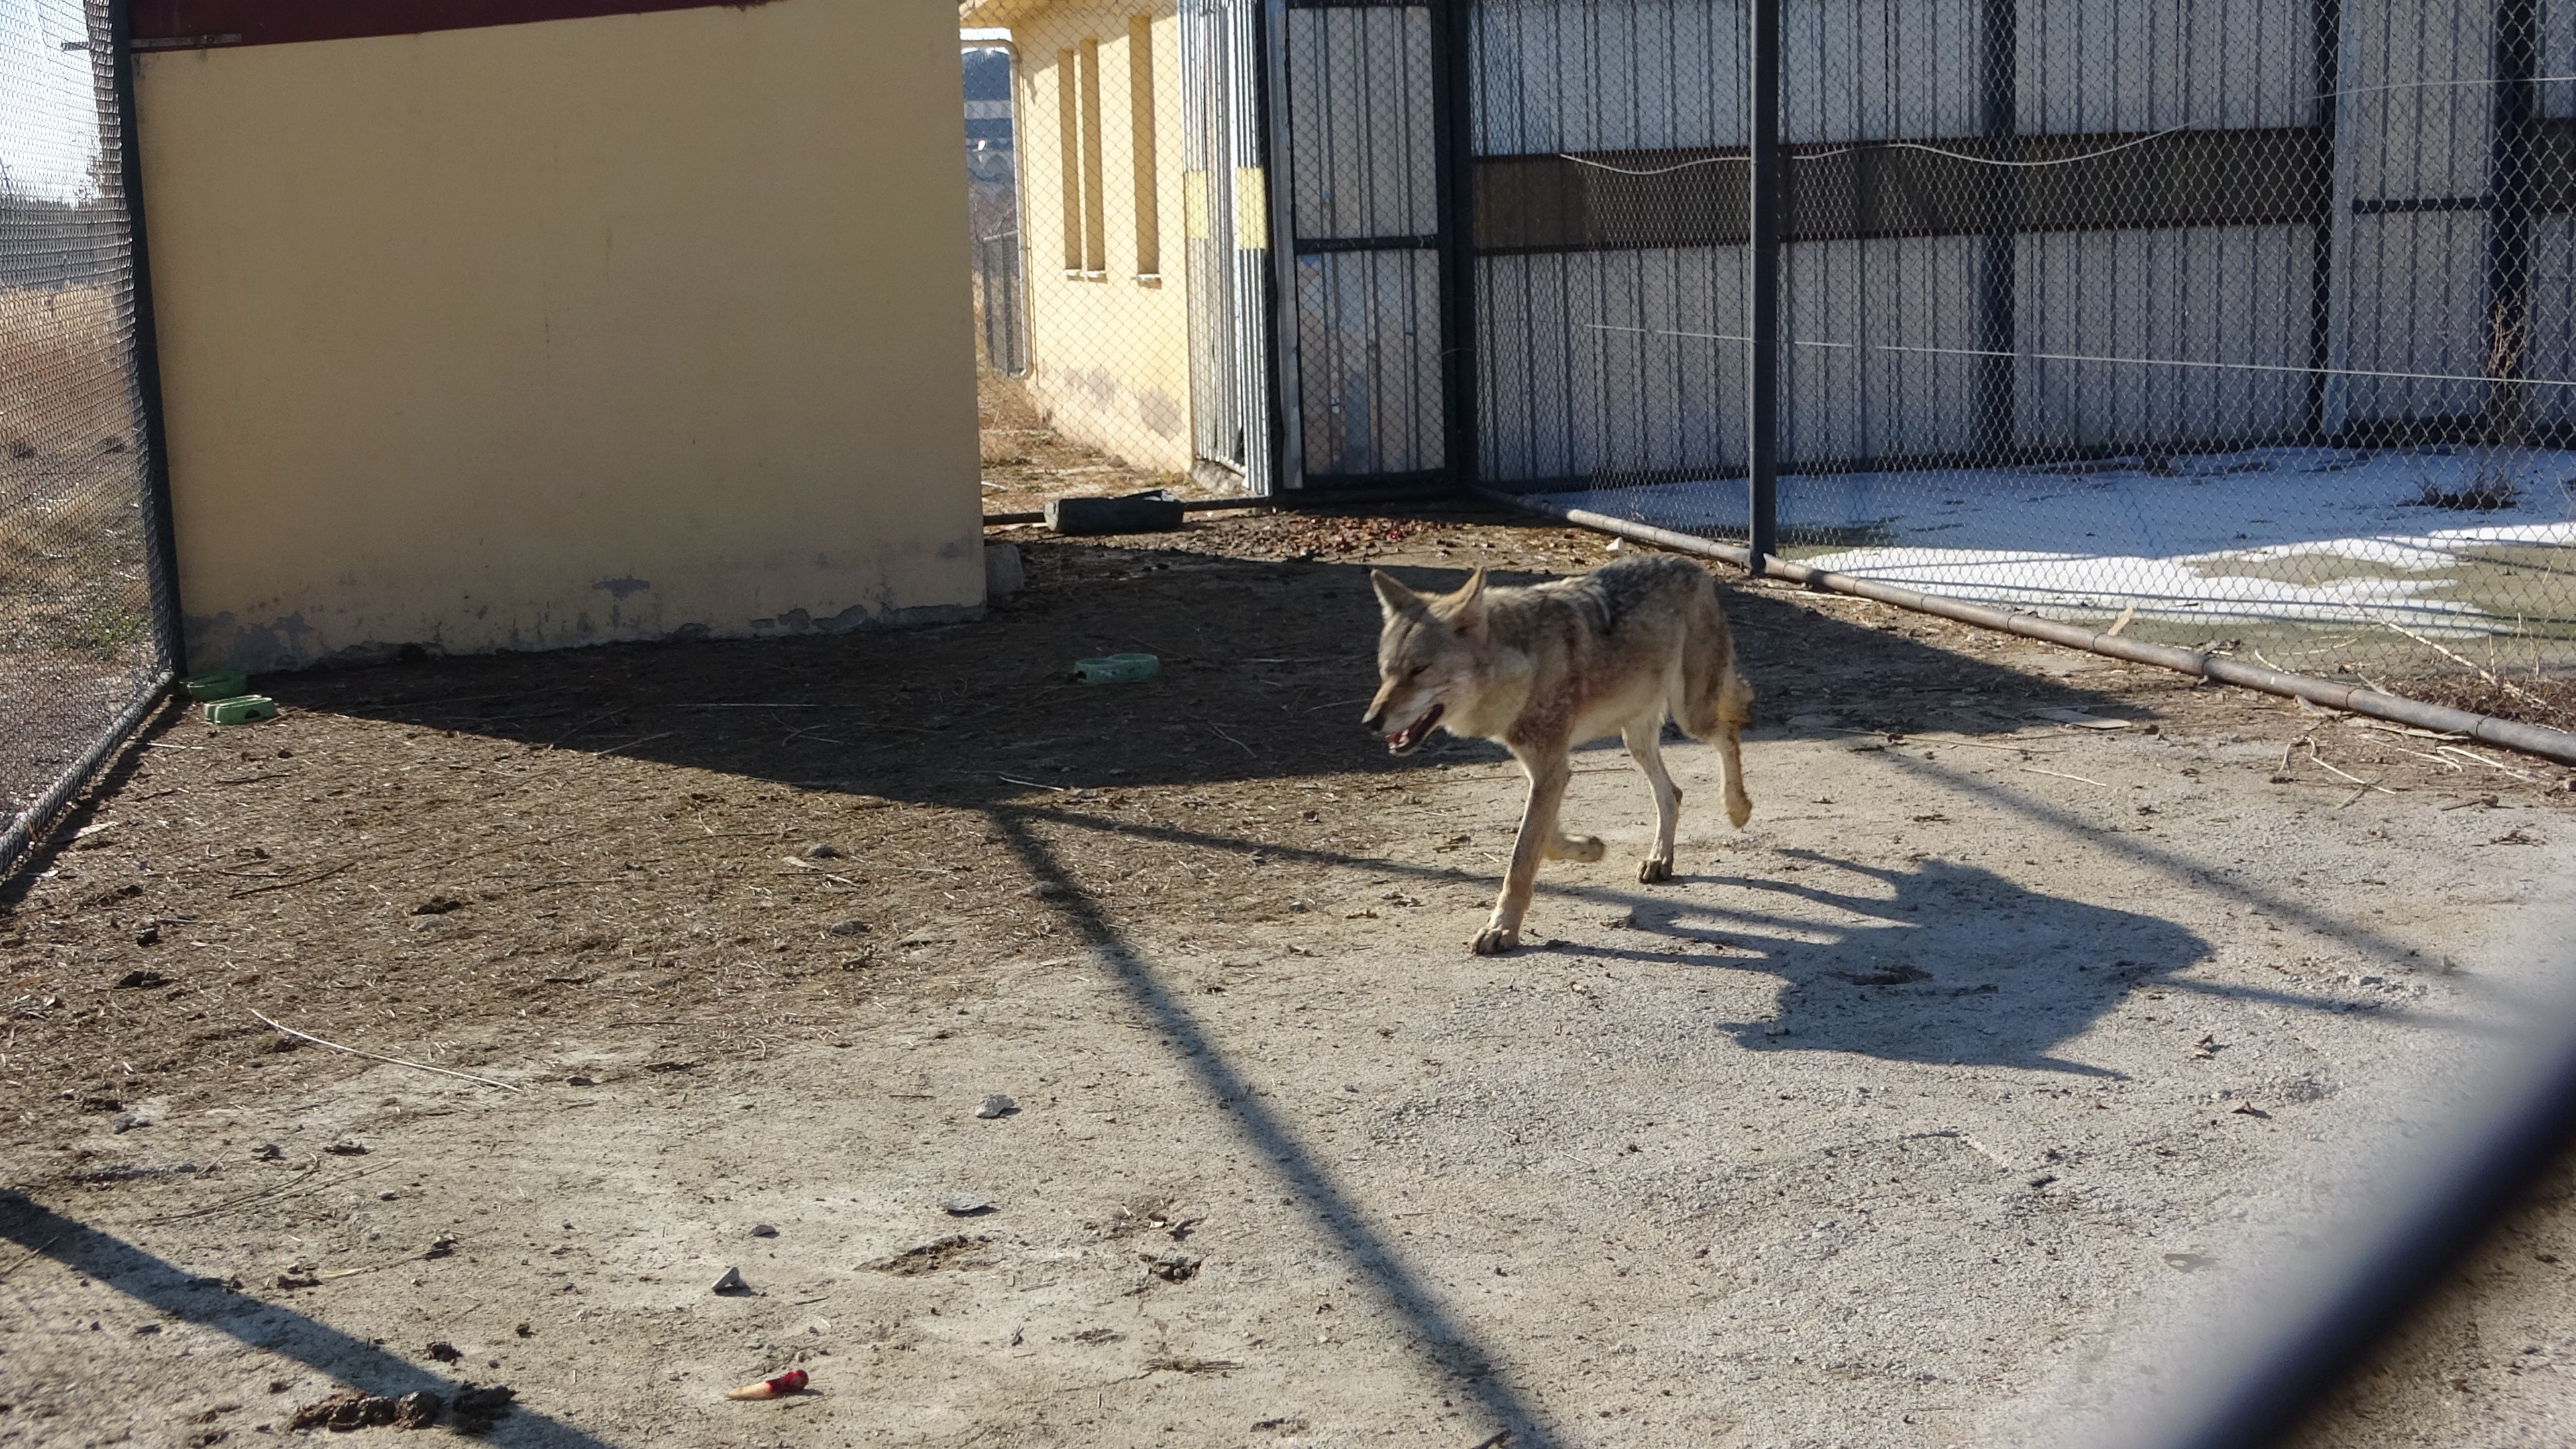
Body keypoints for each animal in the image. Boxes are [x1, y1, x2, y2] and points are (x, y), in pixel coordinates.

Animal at [1370, 549, 1752, 949]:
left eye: (1419, 670)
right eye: (1386, 671)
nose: (1371, 721)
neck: (1522, 663)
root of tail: (1691, 564)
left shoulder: (1550, 770)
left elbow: (1522, 858)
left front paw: (1502, 928)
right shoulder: (1542, 769)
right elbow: (1545, 841)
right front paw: (1590, 848)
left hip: (1692, 716)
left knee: (1729, 732)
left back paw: (1737, 809)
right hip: (1635, 738)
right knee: (1672, 793)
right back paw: (1660, 860)